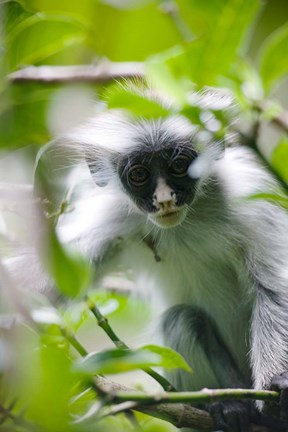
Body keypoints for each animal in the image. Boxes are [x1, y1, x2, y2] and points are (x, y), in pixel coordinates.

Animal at [5, 96, 288, 430]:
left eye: (179, 166)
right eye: (139, 174)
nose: (165, 199)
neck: (183, 225)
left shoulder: (249, 205)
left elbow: (273, 289)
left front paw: (275, 385)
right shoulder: (115, 217)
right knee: (182, 319)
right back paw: (229, 406)